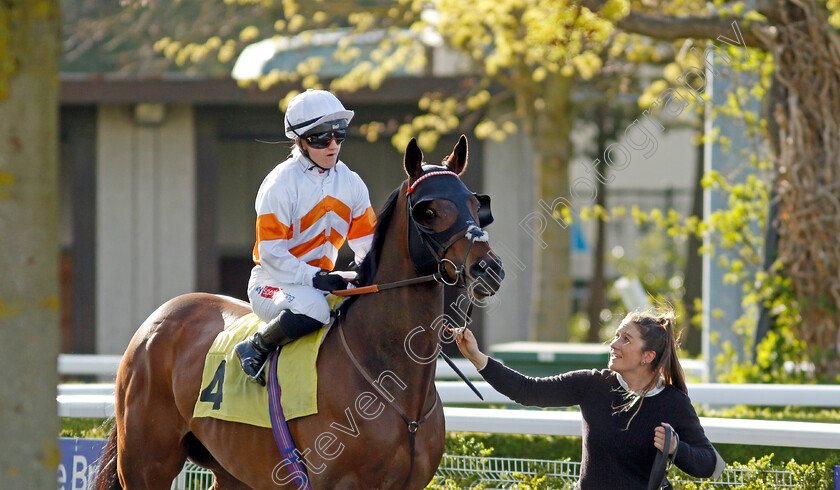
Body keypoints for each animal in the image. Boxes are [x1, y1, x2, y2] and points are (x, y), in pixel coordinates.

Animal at [93, 135, 506, 490]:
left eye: (476, 204)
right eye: (428, 211)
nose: (489, 269)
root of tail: (155, 322)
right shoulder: (332, 482)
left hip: (232, 471)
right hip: (146, 464)